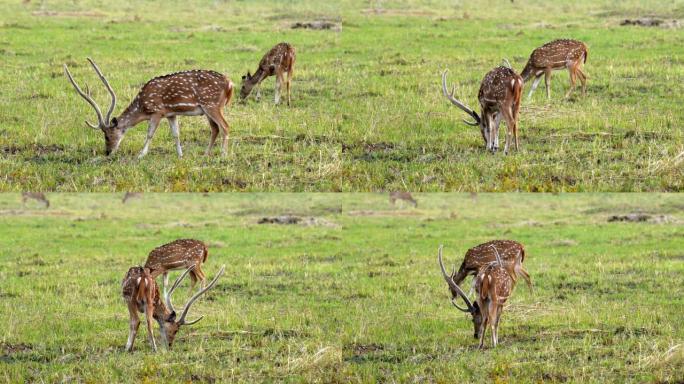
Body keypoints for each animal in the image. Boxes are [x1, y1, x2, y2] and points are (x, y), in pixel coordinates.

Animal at [64, 56, 235, 158]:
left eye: (107, 135)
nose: (107, 152)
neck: (142, 107)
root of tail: (230, 84)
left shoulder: (157, 111)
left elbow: (150, 134)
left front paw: (141, 154)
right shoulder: (171, 113)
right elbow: (176, 134)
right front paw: (180, 155)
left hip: (212, 104)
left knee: (225, 126)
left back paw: (223, 155)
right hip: (207, 109)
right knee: (215, 128)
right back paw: (206, 154)